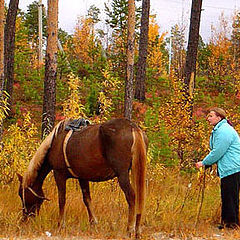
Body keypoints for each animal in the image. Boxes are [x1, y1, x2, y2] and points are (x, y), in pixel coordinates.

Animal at [16, 118, 147, 238]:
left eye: (22, 194)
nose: (24, 219)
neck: (54, 143)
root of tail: (133, 127)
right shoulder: (82, 177)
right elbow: (87, 199)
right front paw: (93, 222)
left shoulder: (59, 174)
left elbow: (62, 199)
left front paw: (61, 225)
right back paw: (137, 230)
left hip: (122, 174)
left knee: (131, 196)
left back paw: (129, 229)